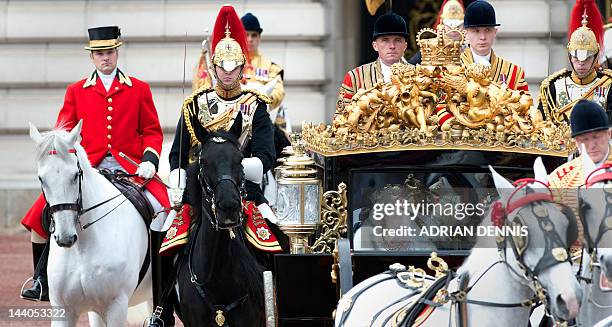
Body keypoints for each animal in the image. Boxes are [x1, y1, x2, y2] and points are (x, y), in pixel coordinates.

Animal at [29, 121, 152, 326]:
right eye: (41, 178)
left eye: (75, 175)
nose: (65, 238)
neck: (83, 247)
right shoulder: (63, 309)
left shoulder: (117, 306)